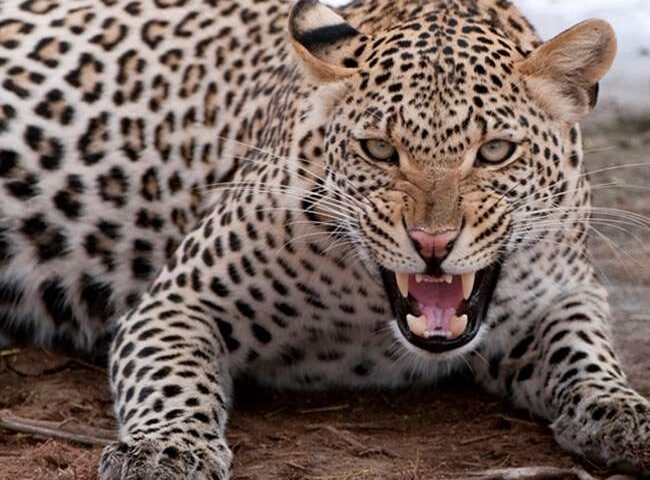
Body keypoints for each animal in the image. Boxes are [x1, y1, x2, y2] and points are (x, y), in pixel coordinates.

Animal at [0, 0, 647, 478]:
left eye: (495, 152)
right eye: (379, 149)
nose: (432, 242)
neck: (368, 319)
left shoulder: (565, 291)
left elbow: (585, 352)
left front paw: (625, 414)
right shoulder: (178, 301)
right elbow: (171, 378)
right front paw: (165, 450)